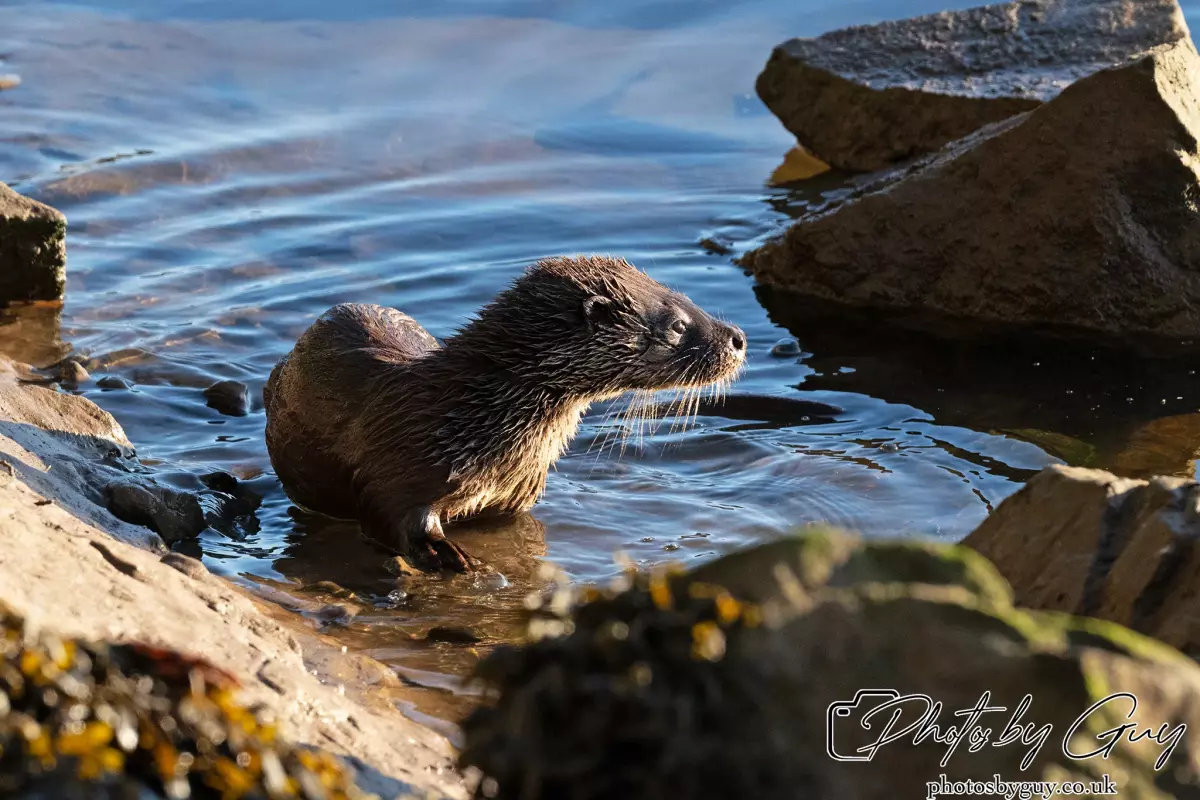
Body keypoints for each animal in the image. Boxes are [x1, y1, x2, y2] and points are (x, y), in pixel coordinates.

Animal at [263, 255, 746, 571]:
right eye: (678, 324)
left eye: (685, 296)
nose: (738, 337)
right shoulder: (398, 466)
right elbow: (393, 517)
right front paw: (448, 554)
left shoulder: (515, 498)